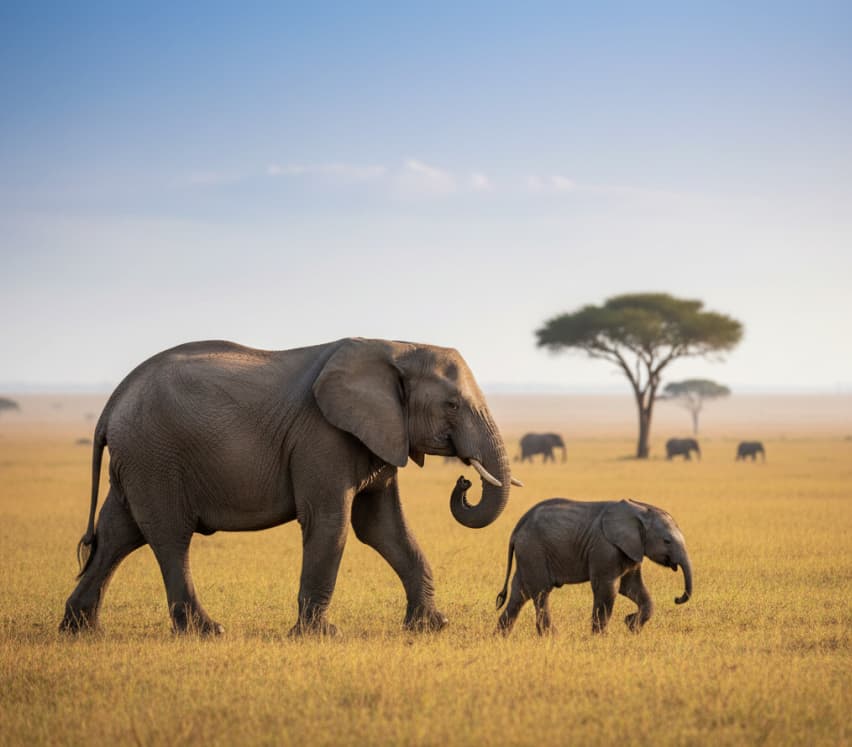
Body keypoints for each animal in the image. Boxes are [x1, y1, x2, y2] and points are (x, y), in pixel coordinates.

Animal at [59, 337, 521, 637]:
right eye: (452, 405)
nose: (464, 479)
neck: (396, 346)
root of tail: (112, 404)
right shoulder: (323, 437)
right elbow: (331, 523)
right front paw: (321, 635)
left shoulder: (379, 434)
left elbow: (383, 528)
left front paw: (431, 627)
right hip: (154, 455)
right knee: (169, 537)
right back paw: (206, 630)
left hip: (137, 460)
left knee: (117, 534)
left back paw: (78, 630)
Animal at [495, 496, 692, 636]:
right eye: (667, 541)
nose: (677, 598)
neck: (641, 510)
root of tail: (516, 529)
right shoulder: (606, 548)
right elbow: (608, 589)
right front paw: (601, 637)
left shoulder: (631, 549)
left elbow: (632, 587)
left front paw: (631, 626)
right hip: (534, 551)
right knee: (541, 592)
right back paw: (552, 637)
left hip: (527, 554)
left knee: (519, 593)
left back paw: (499, 637)